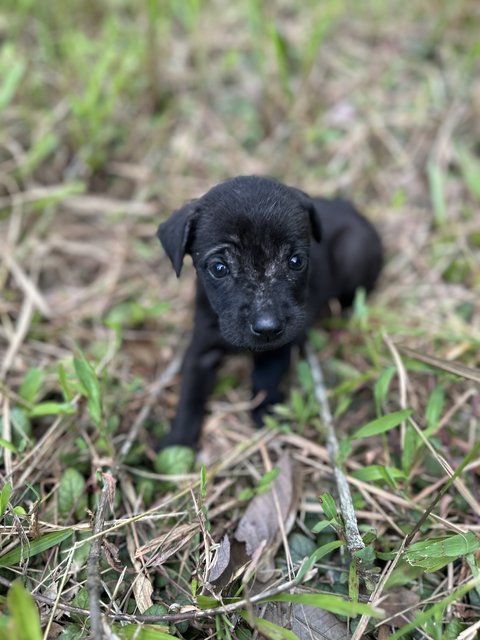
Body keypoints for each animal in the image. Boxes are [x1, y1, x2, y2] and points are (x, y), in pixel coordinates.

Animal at [158, 174, 382, 444]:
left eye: (296, 261)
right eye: (219, 268)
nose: (267, 327)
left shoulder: (280, 345)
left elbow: (265, 375)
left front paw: (265, 412)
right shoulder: (201, 347)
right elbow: (190, 391)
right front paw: (177, 441)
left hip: (354, 254)